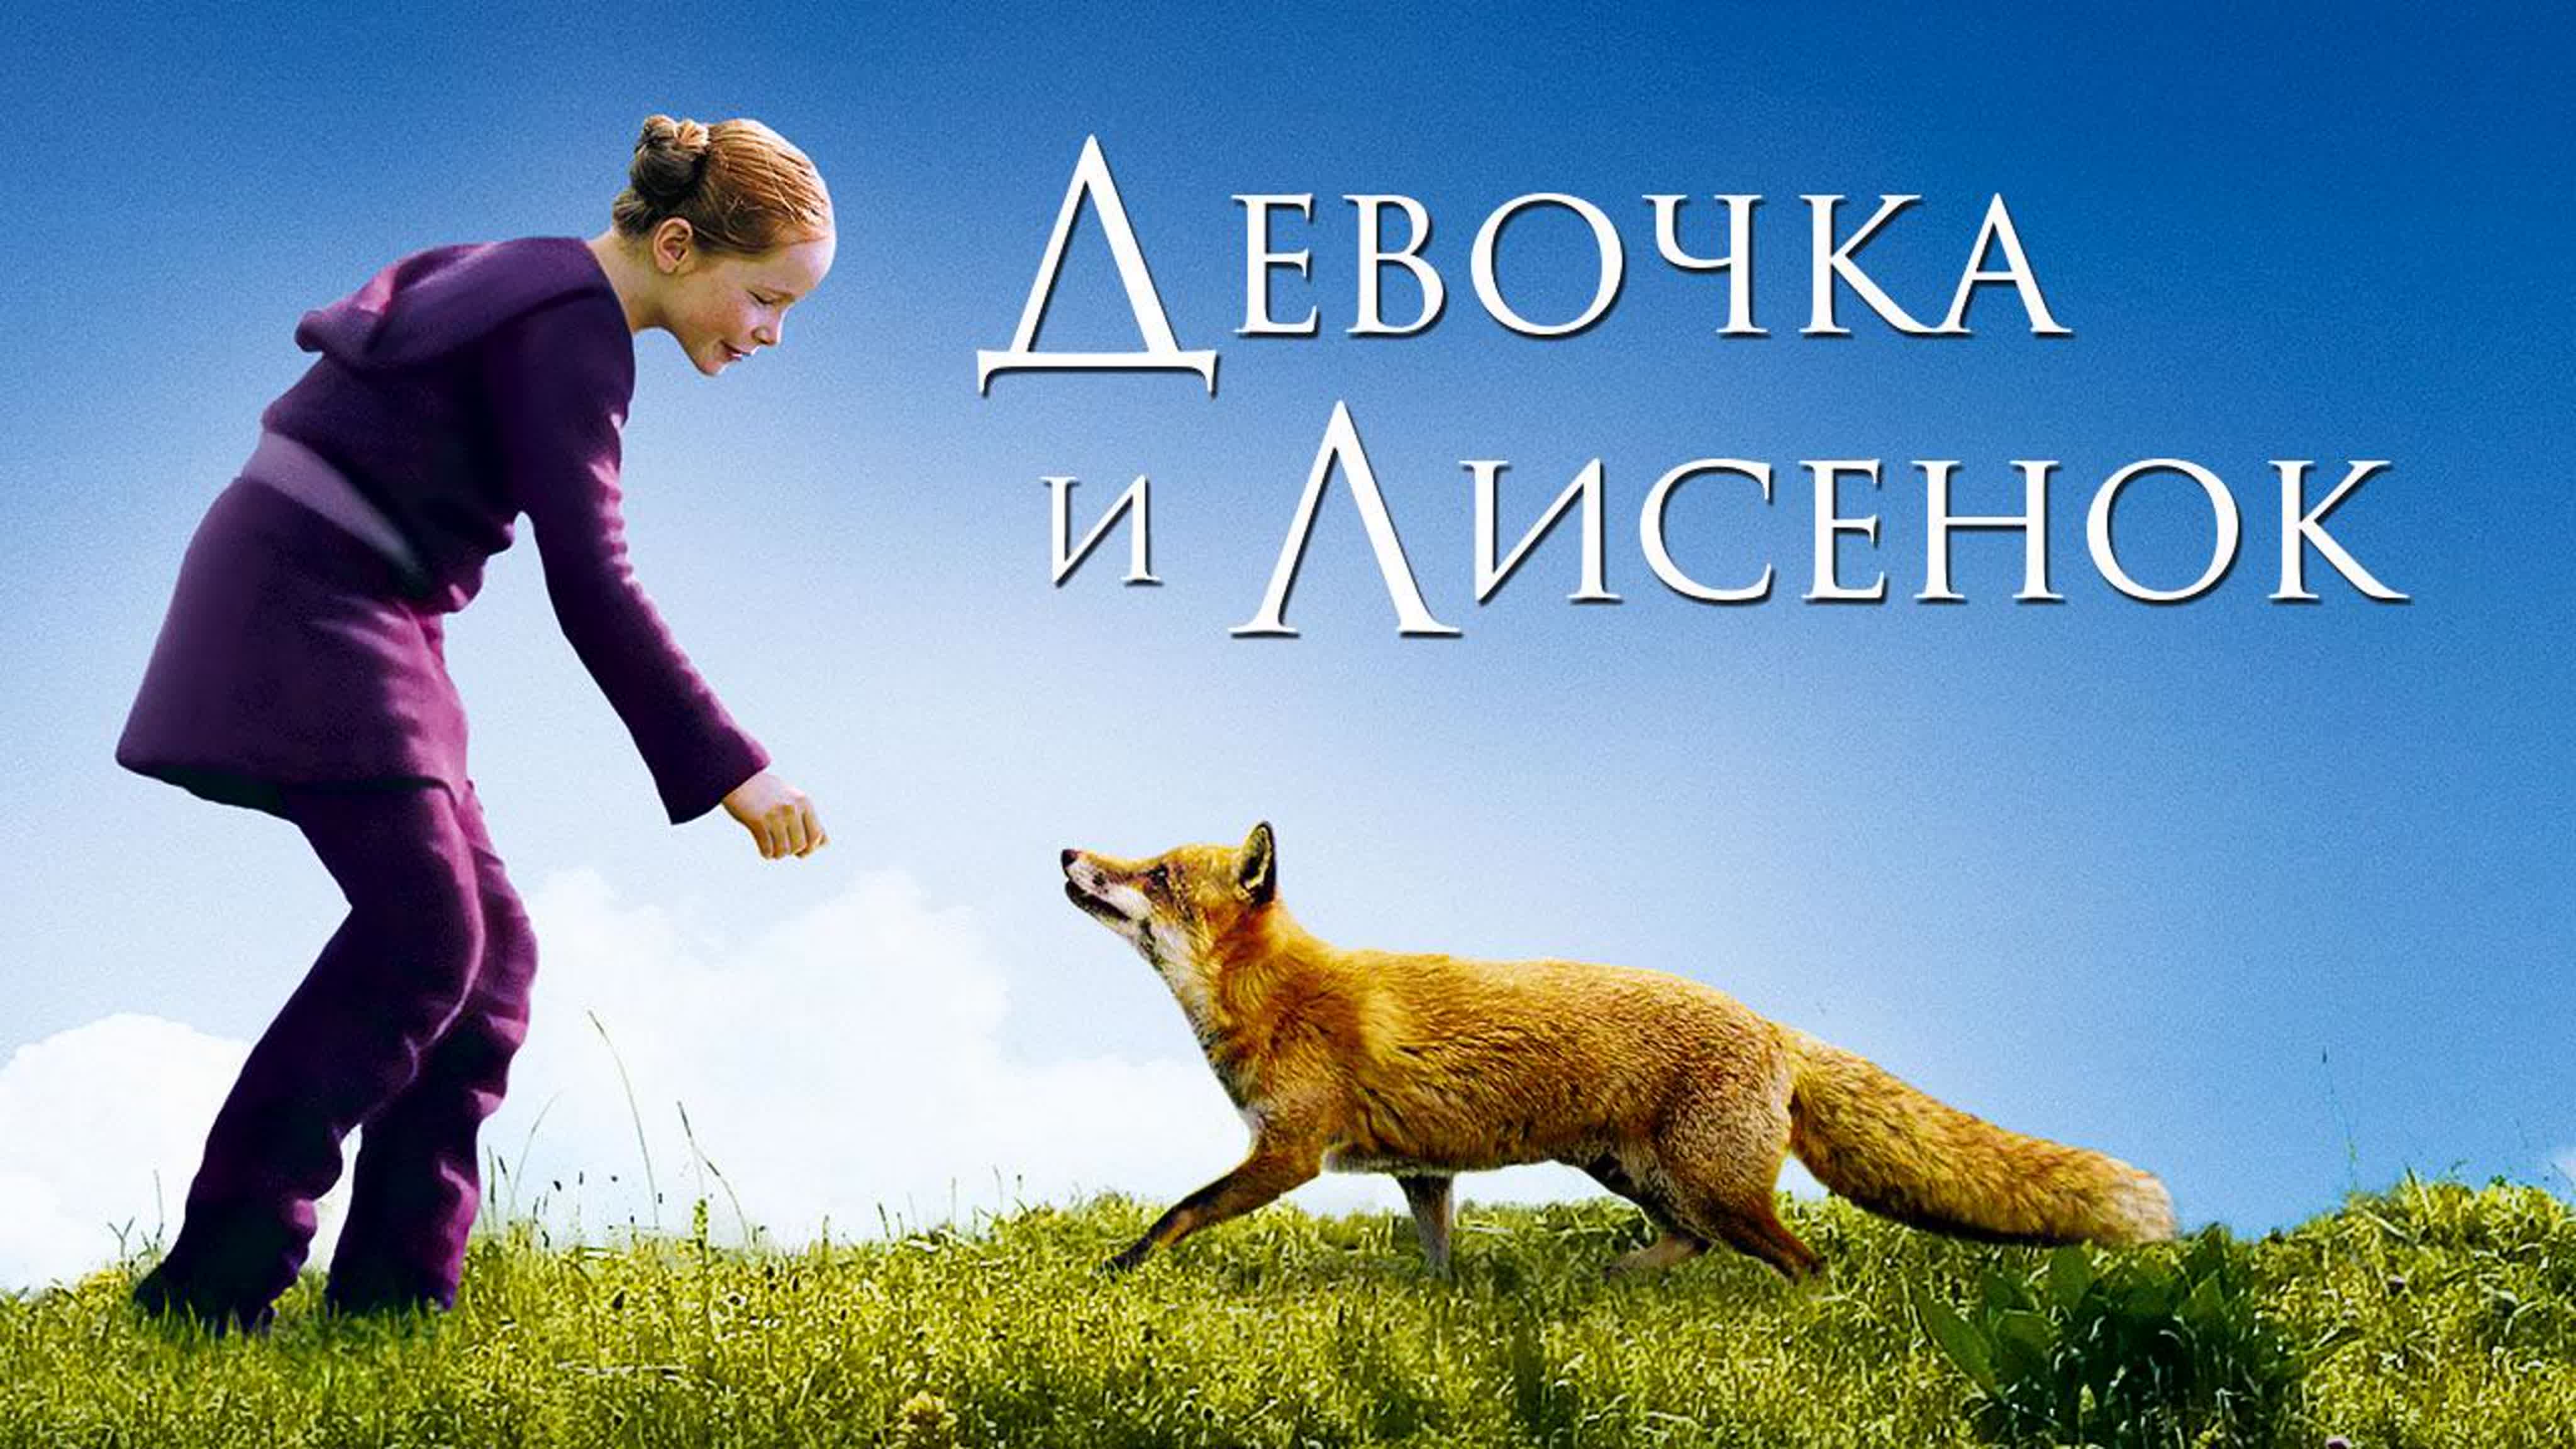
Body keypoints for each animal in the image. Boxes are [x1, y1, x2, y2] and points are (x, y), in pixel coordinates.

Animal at [1062, 823, 2176, 1279]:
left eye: (1156, 875)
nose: (1069, 853)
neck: (1277, 996)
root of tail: (1773, 1024)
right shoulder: (1422, 1171)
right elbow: (1438, 1261)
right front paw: (1448, 1306)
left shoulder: (1288, 1154)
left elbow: (1178, 1213)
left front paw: (1117, 1271)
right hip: (1633, 1172)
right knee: (1693, 1243)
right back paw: (1615, 1278)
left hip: (1706, 1183)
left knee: (1803, 1259)